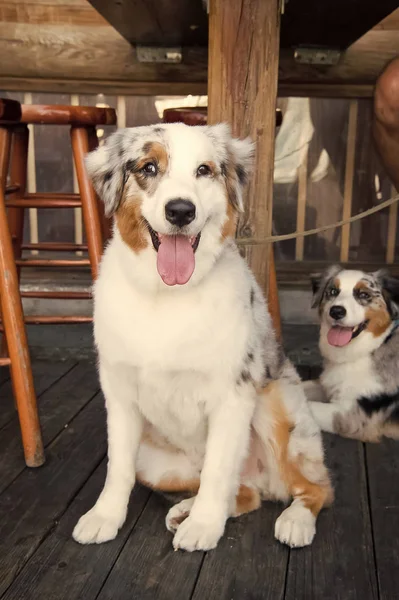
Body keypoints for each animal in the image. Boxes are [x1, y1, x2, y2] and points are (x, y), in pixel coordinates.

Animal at [304, 266, 399, 440]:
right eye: (333, 291)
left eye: (364, 295)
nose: (336, 311)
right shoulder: (330, 384)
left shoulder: (353, 416)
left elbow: (305, 404)